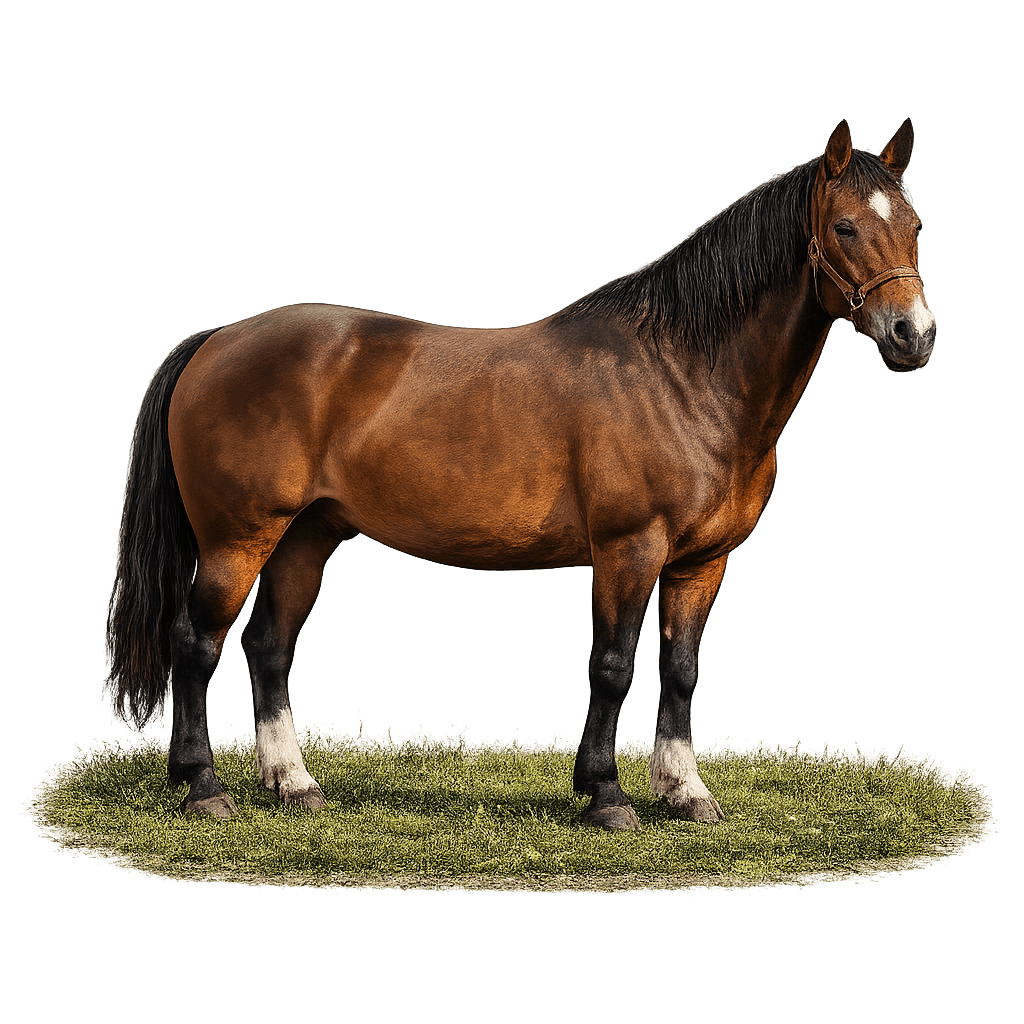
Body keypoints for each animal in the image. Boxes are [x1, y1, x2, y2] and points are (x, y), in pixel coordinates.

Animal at [103, 118, 935, 830]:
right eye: (845, 227)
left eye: (915, 225)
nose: (914, 335)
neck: (680, 374)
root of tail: (218, 339)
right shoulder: (629, 549)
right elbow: (613, 666)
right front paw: (606, 796)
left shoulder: (702, 563)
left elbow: (682, 670)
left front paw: (686, 792)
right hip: (237, 539)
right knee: (195, 642)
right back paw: (203, 787)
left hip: (305, 537)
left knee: (269, 646)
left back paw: (294, 783)